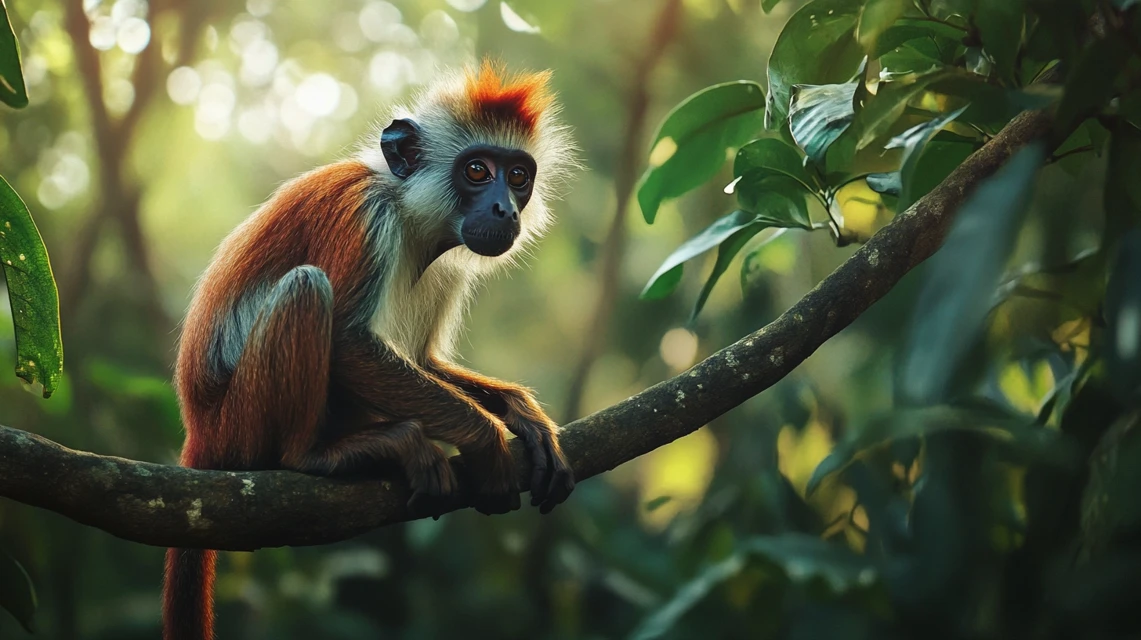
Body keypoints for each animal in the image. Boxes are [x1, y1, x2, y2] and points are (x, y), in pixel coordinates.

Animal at [165, 61, 575, 638]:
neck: (407, 212)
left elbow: (422, 361)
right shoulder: (364, 213)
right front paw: (488, 439)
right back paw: (316, 455)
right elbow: (348, 343)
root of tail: (199, 430)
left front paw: (523, 415)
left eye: (518, 176)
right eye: (477, 171)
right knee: (307, 287)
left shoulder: (447, 265)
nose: (504, 208)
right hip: (239, 425)